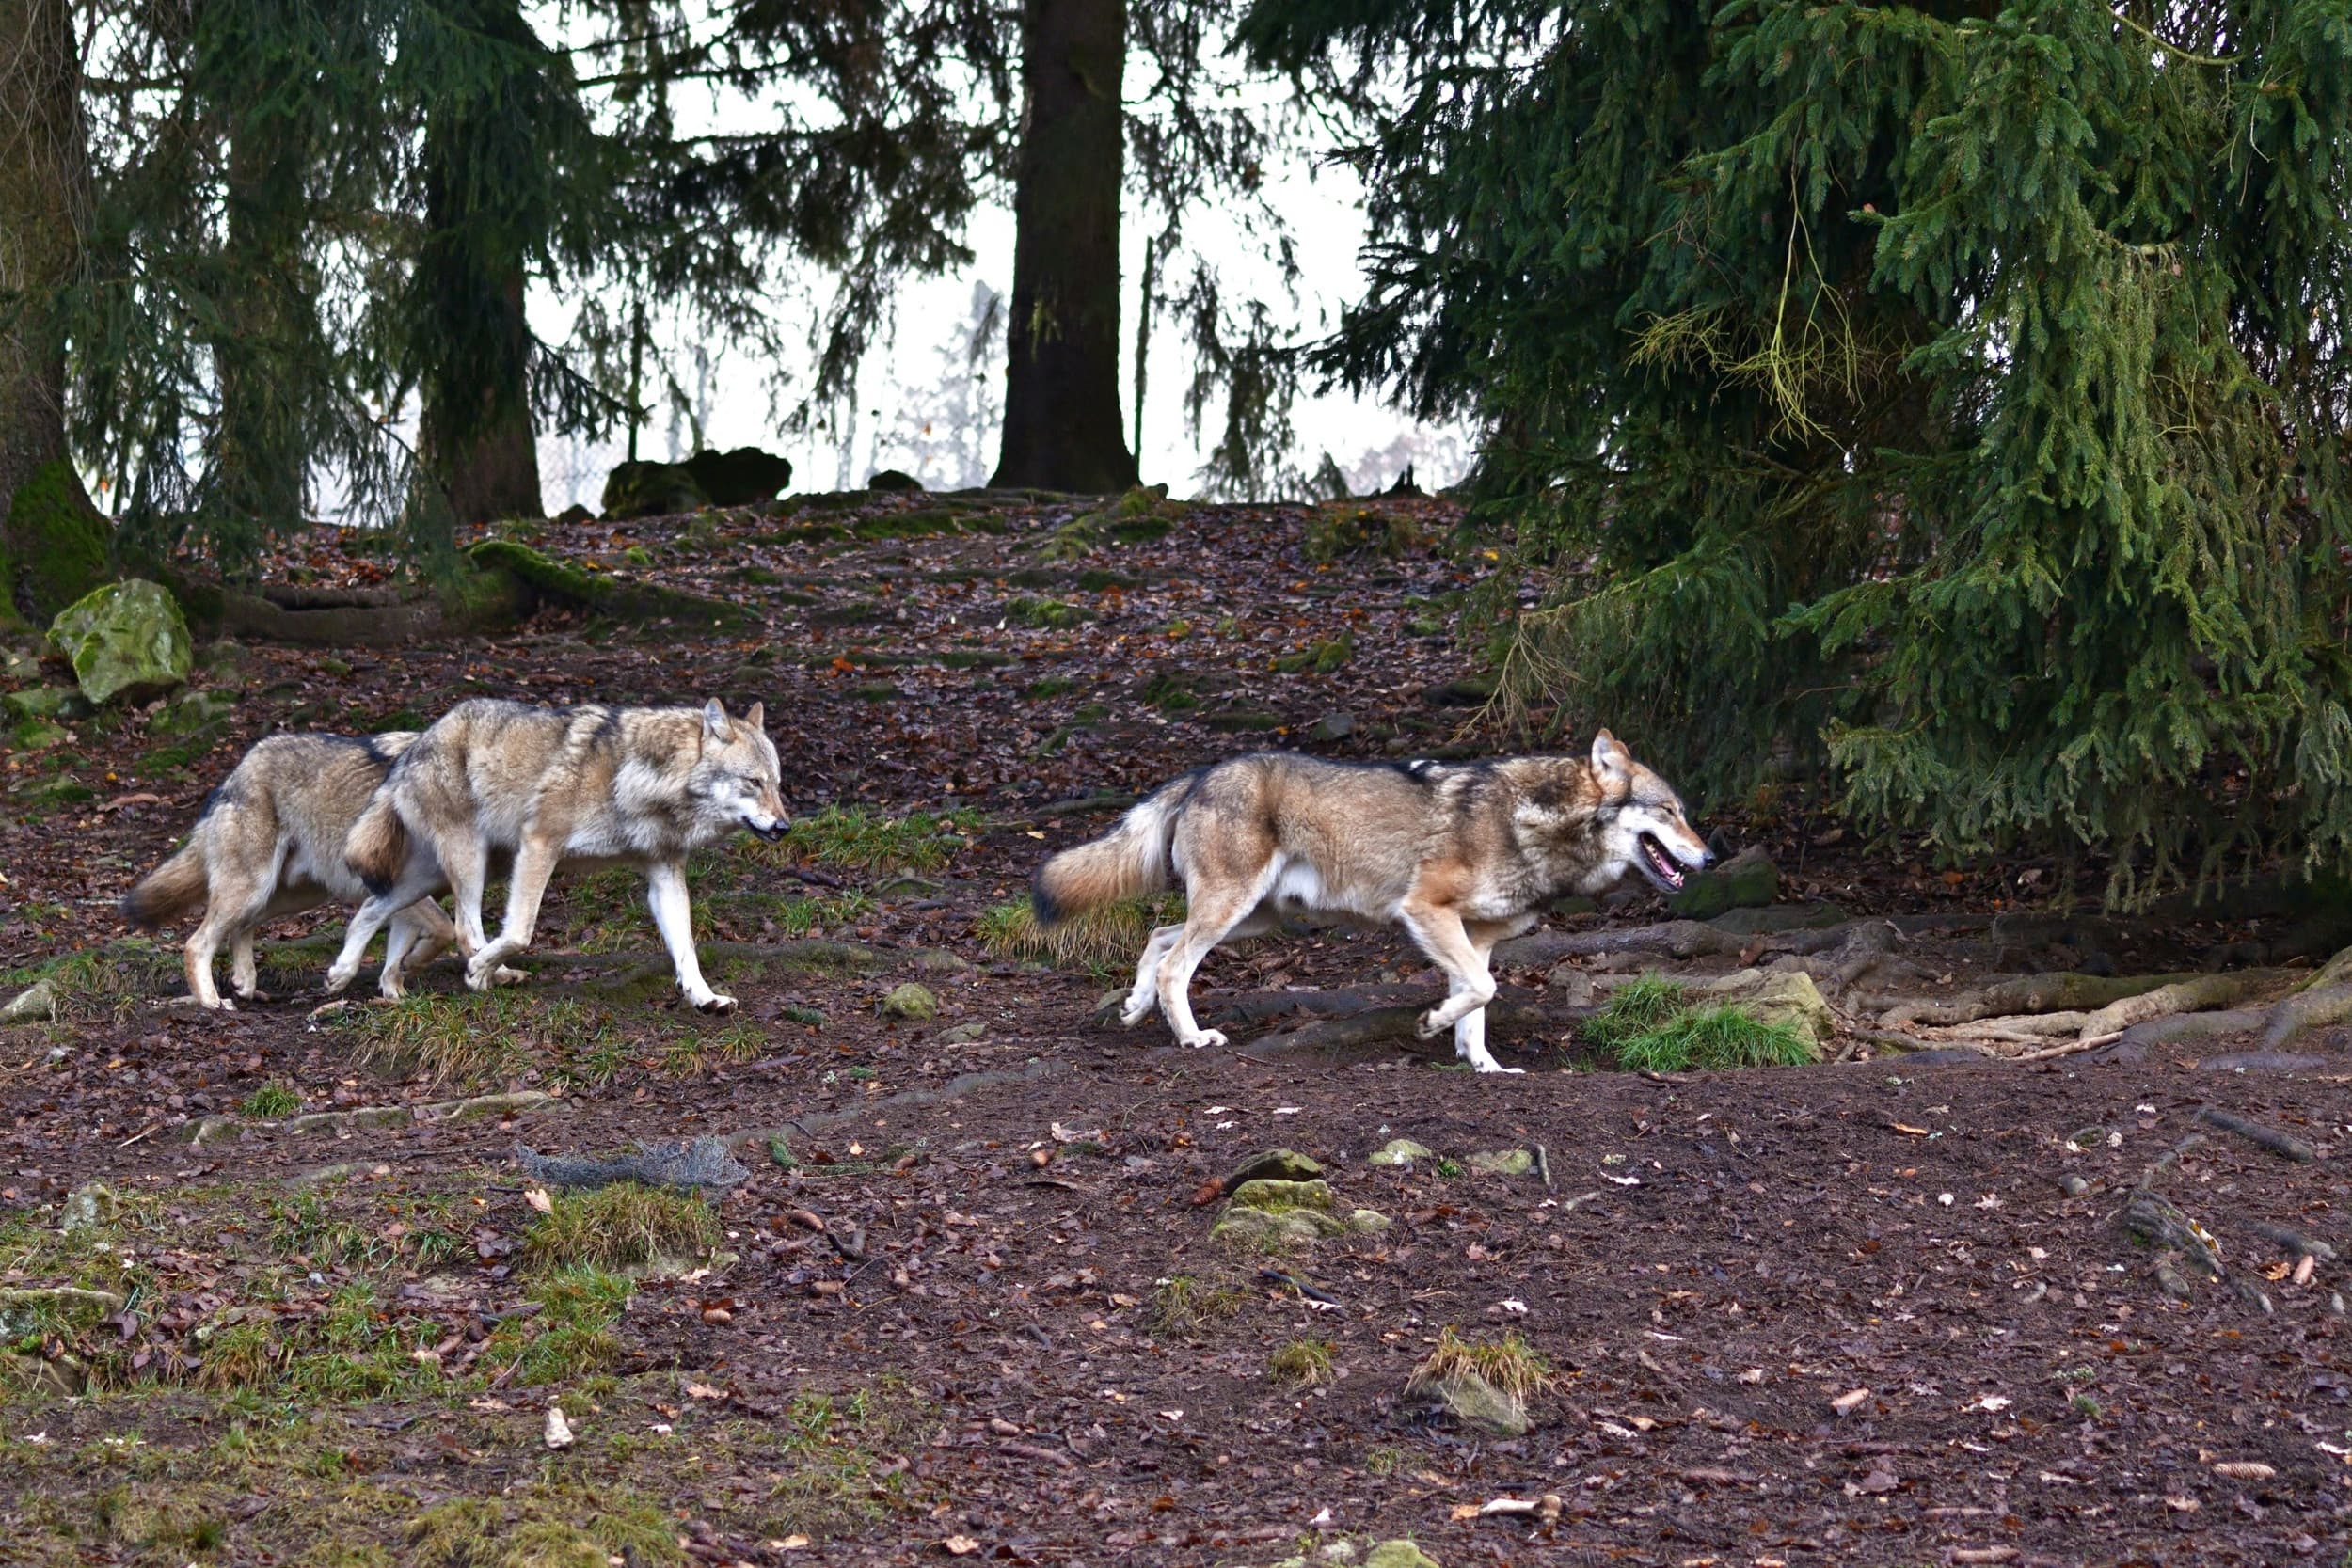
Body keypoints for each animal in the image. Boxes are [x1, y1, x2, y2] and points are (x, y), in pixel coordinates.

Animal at [122, 733, 463, 1010]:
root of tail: (239, 769)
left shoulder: (408, 896)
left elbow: (404, 950)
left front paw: (396, 993)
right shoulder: (396, 886)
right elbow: (445, 929)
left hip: (292, 897)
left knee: (240, 928)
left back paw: (244, 982)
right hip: (254, 890)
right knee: (197, 943)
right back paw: (211, 1001)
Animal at [331, 698, 788, 1012]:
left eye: (778, 784)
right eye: (753, 782)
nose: (785, 827)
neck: (634, 778)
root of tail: (420, 739)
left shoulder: (664, 871)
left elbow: (686, 947)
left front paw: (705, 997)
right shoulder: (539, 844)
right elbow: (521, 932)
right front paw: (479, 972)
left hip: (449, 872)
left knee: (373, 906)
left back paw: (346, 973)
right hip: (471, 861)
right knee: (464, 927)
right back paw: (484, 974)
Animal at [1030, 732, 1710, 1074]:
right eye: (1670, 811)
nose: (1710, 858)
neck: (1535, 822)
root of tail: (1200, 774)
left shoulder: (1478, 936)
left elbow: (1480, 1002)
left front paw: (1483, 1065)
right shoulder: (1427, 911)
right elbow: (1479, 991)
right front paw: (1432, 1024)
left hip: (1251, 917)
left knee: (1157, 938)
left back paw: (1135, 1007)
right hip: (1234, 911)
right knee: (1176, 963)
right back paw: (1193, 1039)